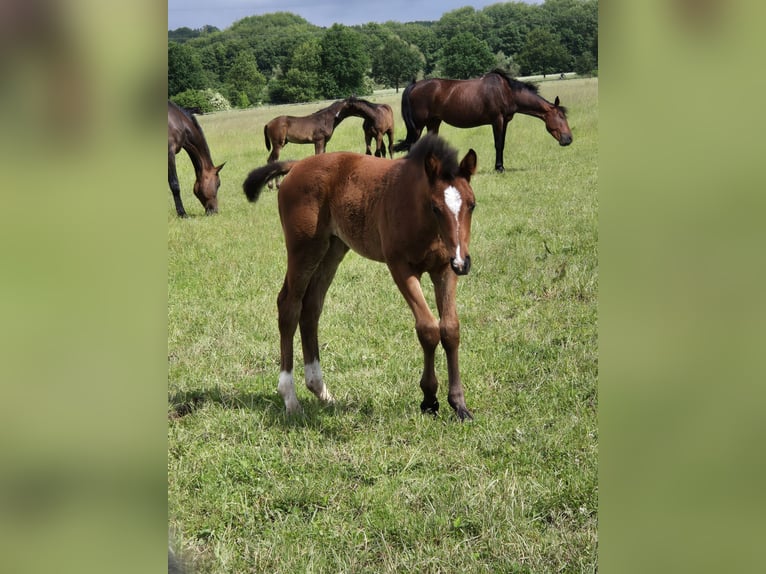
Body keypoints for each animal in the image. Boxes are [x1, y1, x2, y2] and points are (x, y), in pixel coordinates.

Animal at [243, 136, 476, 424]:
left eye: (472, 204)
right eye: (435, 207)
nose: (463, 262)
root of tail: (297, 165)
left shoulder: (444, 269)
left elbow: (450, 329)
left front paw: (459, 405)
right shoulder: (400, 267)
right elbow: (428, 328)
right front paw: (429, 399)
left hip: (332, 249)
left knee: (311, 308)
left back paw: (321, 391)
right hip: (303, 249)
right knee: (289, 306)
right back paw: (290, 399)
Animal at [392, 69, 572, 172]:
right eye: (561, 117)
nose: (568, 139)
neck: (506, 91)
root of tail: (415, 85)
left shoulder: (505, 122)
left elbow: (502, 144)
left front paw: (501, 166)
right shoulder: (497, 120)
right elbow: (498, 144)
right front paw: (499, 168)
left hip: (433, 122)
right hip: (418, 125)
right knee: (412, 145)